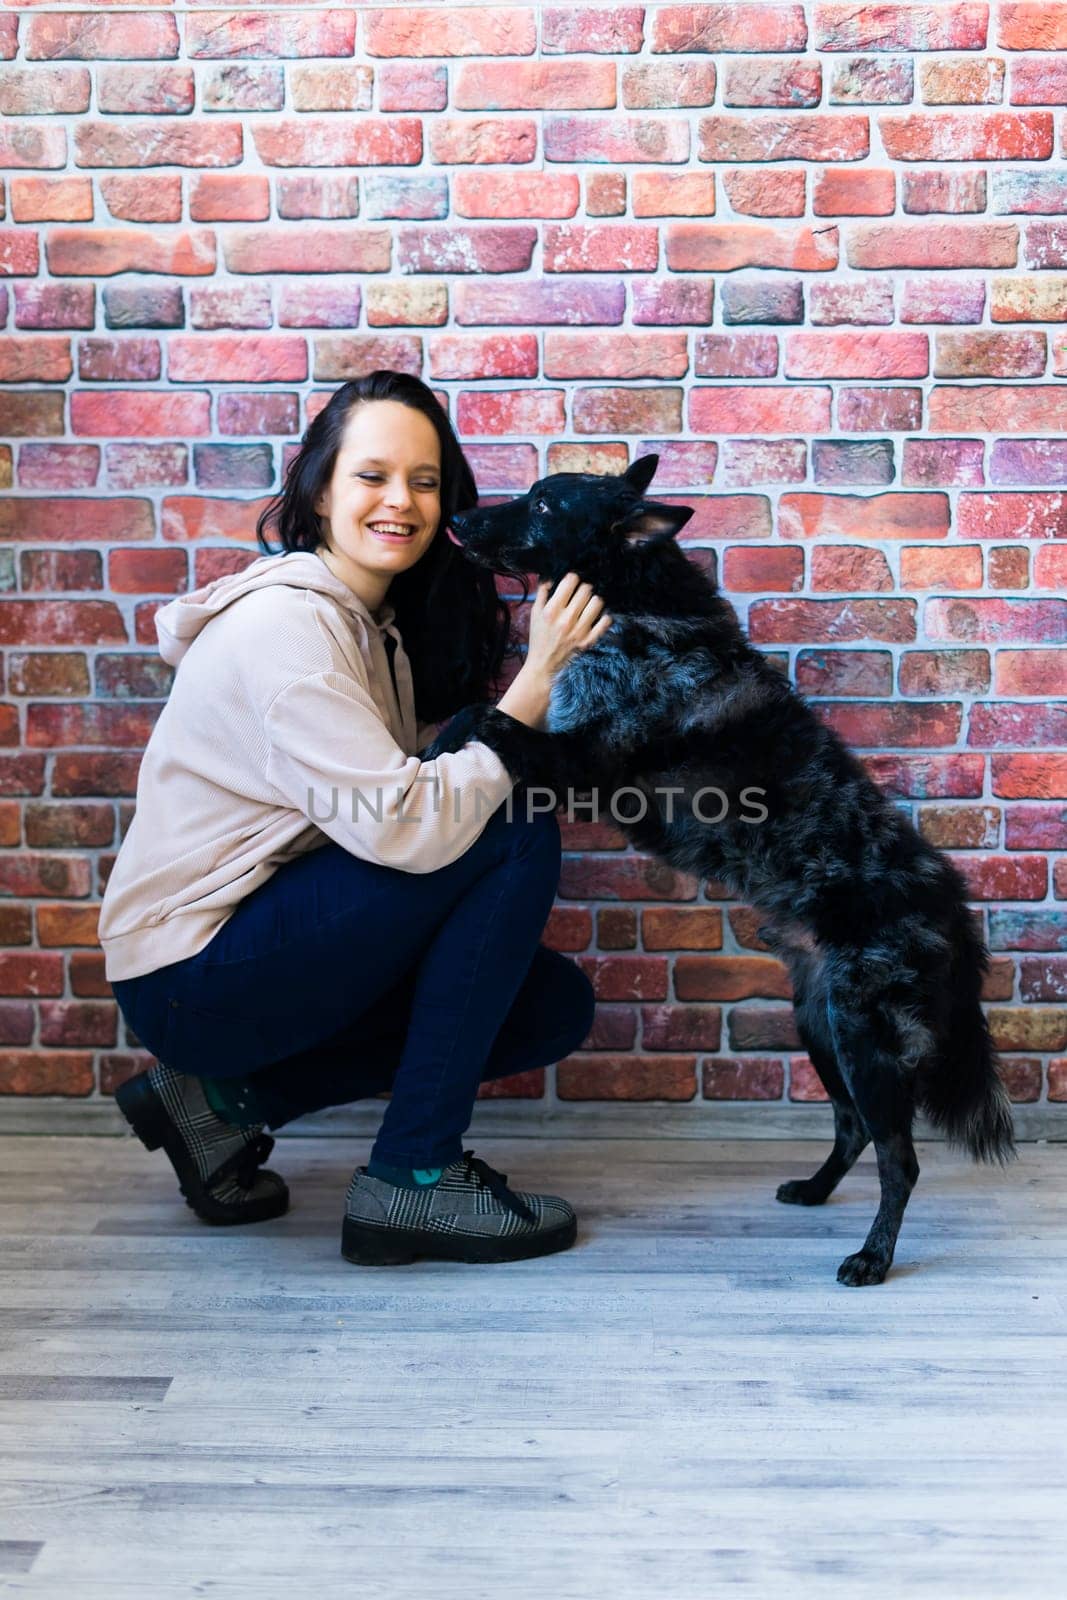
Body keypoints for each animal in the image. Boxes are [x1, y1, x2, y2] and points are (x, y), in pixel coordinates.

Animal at [425, 457, 1017, 1280]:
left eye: (543, 503)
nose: (456, 519)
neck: (637, 613)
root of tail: (956, 918)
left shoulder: (579, 766)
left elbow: (483, 717)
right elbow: (480, 718)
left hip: (862, 1040)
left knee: (900, 1159)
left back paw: (871, 1258)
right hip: (820, 1025)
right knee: (852, 1129)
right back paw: (815, 1191)